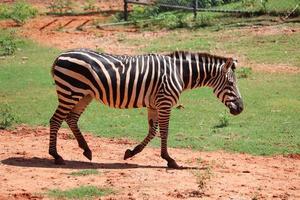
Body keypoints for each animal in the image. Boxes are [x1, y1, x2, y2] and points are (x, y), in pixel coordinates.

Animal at [48, 48, 241, 169]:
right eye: (231, 84)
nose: (240, 108)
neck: (179, 72)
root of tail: (60, 56)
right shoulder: (165, 102)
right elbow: (164, 131)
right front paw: (170, 160)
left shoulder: (154, 104)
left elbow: (153, 131)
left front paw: (131, 152)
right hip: (71, 92)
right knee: (55, 120)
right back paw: (56, 156)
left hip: (83, 95)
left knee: (71, 118)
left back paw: (86, 150)